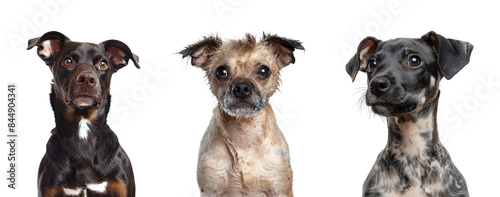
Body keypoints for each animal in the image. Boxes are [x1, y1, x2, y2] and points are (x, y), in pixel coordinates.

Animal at [181, 33, 302, 196]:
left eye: (263, 71)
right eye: (221, 72)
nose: (242, 87)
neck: (244, 134)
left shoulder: (280, 188)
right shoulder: (211, 189)